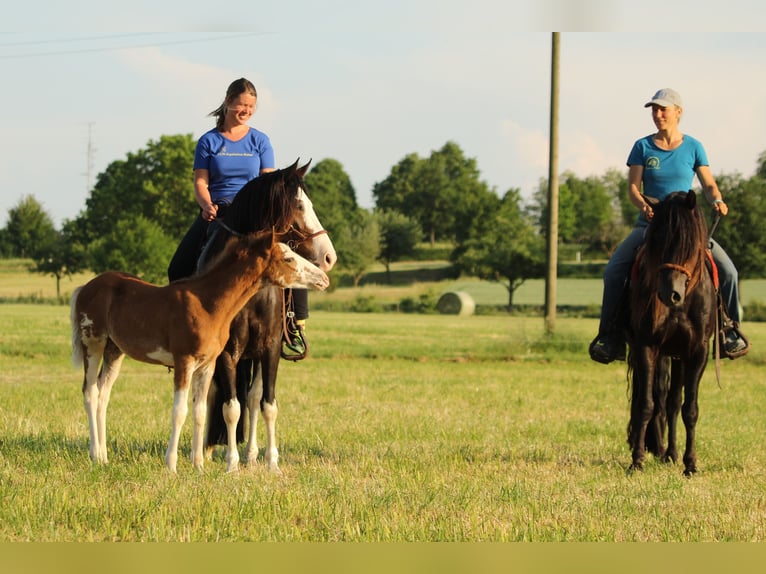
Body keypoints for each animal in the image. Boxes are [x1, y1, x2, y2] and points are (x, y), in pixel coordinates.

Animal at [70, 230, 330, 472]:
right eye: (288, 258)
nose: (323, 278)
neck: (207, 303)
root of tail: (85, 288)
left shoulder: (207, 364)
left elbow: (200, 411)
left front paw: (199, 465)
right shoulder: (184, 362)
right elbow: (179, 411)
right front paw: (171, 465)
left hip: (114, 350)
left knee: (104, 394)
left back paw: (104, 456)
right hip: (93, 343)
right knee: (90, 392)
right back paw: (95, 454)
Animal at [193, 160, 336, 473]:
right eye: (299, 205)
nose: (329, 257)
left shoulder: (269, 348)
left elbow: (266, 404)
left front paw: (271, 463)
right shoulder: (227, 352)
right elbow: (230, 408)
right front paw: (231, 464)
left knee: (252, 397)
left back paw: (250, 453)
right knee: (208, 396)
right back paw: (203, 454)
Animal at [625, 190, 717, 476]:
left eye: (688, 244)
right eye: (656, 241)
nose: (670, 294)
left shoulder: (697, 352)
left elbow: (690, 409)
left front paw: (691, 464)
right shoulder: (646, 346)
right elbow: (646, 404)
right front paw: (637, 461)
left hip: (677, 356)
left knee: (674, 403)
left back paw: (672, 454)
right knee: (659, 399)